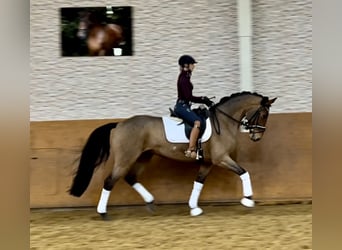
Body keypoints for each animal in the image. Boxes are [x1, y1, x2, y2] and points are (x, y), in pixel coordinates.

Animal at [69, 91, 278, 219]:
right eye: (264, 114)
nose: (257, 136)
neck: (224, 121)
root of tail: (119, 124)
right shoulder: (221, 159)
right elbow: (244, 172)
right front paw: (248, 200)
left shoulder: (208, 162)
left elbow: (198, 182)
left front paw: (194, 208)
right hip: (126, 158)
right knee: (110, 181)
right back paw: (103, 213)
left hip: (144, 156)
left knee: (131, 178)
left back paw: (150, 202)